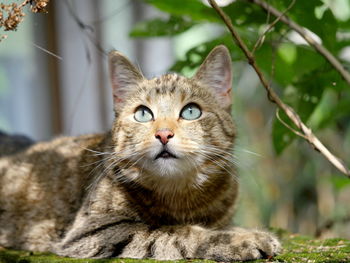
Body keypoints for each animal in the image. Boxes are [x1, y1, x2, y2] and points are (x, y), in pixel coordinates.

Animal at [0, 45, 280, 262]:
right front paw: (241, 239)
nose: (164, 134)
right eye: (143, 113)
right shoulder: (92, 232)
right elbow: (175, 233)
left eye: (191, 111)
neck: (180, 196)